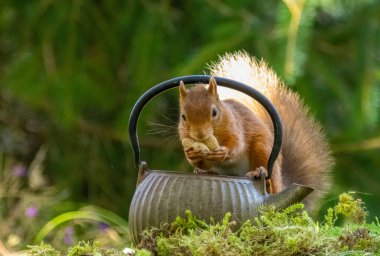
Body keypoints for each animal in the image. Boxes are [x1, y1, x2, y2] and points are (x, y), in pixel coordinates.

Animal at [178, 51, 332, 208]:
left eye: (214, 112)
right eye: (183, 116)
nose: (200, 135)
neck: (215, 135)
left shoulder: (235, 126)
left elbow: (237, 144)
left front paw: (223, 151)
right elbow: (201, 160)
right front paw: (193, 154)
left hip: (262, 149)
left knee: (270, 182)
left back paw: (260, 176)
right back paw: (206, 172)